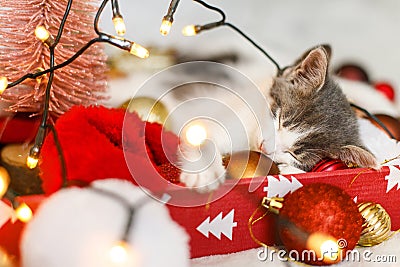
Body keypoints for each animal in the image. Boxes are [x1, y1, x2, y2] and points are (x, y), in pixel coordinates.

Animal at [177, 46, 378, 193]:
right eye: (280, 119)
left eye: (295, 154)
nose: (264, 147)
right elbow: (200, 132)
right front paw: (204, 174)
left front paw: (290, 171)